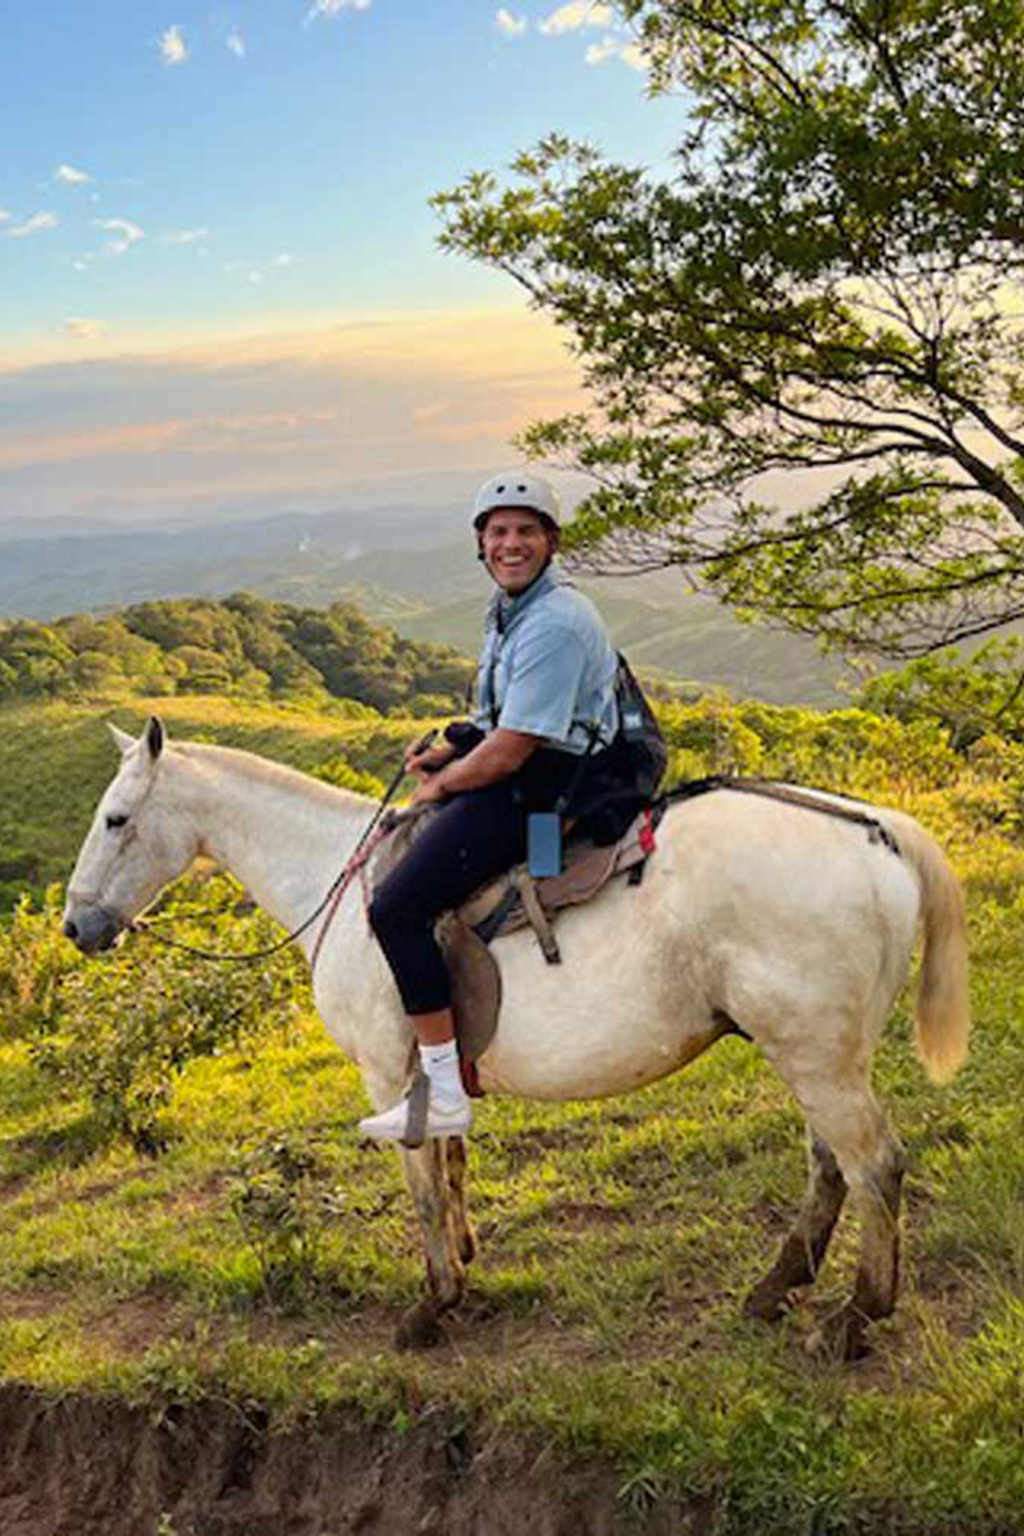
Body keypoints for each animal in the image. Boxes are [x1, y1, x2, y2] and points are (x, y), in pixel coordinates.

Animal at [62, 717, 970, 1361]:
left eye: (114, 819)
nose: (76, 927)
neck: (340, 886)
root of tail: (874, 827)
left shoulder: (388, 1073)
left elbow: (423, 1184)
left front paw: (433, 1303)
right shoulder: (432, 1070)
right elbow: (453, 1161)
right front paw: (465, 1264)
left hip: (817, 1055)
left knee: (874, 1166)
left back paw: (853, 1321)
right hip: (814, 1051)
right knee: (831, 1169)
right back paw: (774, 1290)